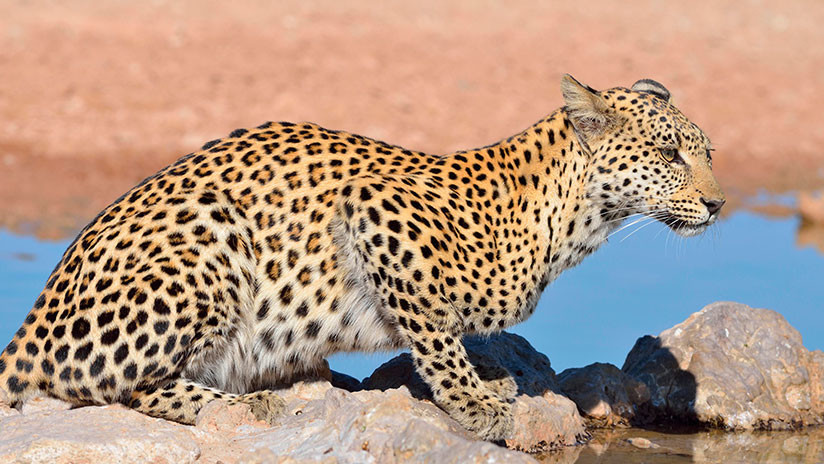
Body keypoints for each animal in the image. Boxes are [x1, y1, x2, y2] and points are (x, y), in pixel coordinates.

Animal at [0, 75, 720, 438]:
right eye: (668, 154)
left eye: (707, 151)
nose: (718, 204)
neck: (567, 221)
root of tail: (36, 315)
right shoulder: (375, 206)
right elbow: (435, 333)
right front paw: (474, 402)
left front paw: (488, 384)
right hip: (212, 234)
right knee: (102, 383)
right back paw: (241, 406)